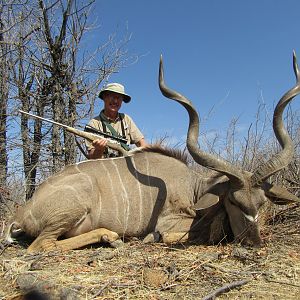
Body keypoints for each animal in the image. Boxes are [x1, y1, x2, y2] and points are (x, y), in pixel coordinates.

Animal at [4, 54, 300, 253]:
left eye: (261, 203)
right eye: (234, 202)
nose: (254, 243)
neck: (194, 186)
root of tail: (22, 213)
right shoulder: (168, 222)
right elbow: (182, 233)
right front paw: (149, 238)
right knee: (41, 245)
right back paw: (110, 236)